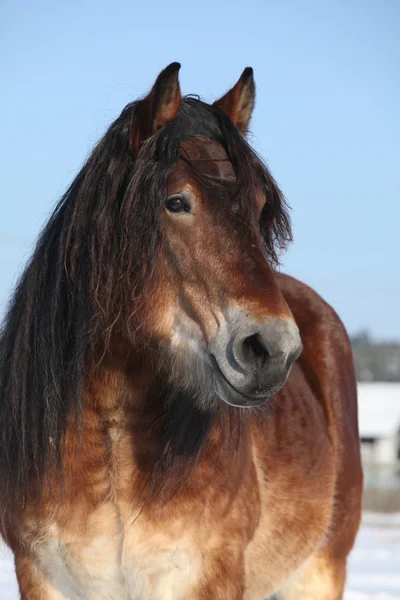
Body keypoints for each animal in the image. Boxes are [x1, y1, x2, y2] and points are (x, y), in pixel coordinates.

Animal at [0, 63, 362, 596]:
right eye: (176, 202)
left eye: (259, 207)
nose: (273, 349)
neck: (111, 437)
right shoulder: (41, 575)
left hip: (320, 572)